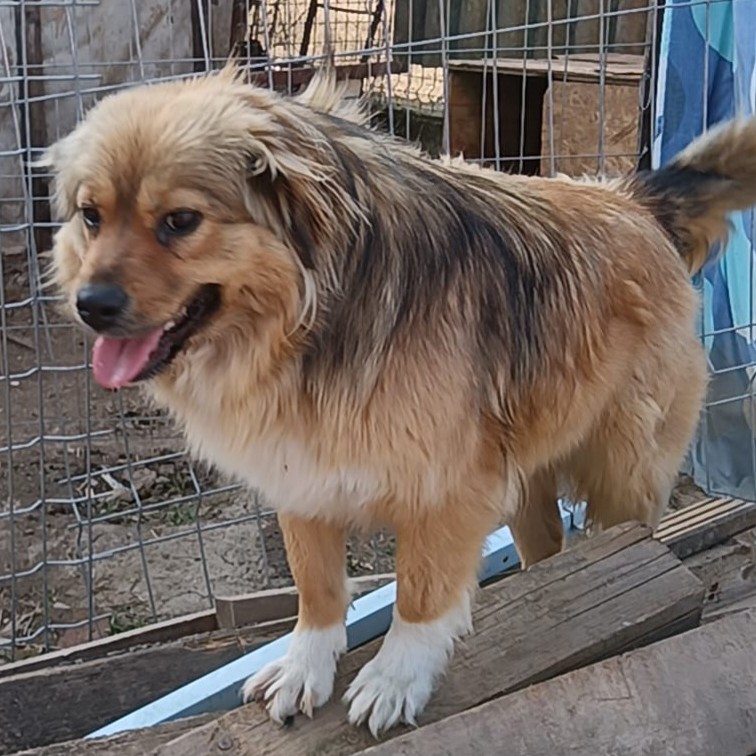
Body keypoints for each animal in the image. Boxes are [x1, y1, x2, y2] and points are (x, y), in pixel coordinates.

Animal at [41, 64, 756, 736]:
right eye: (91, 216)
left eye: (181, 221)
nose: (90, 305)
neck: (309, 323)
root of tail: (633, 199)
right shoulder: (299, 470)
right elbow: (316, 587)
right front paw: (303, 666)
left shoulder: (449, 488)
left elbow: (420, 593)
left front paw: (396, 676)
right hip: (525, 474)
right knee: (545, 541)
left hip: (624, 468)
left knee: (625, 527)